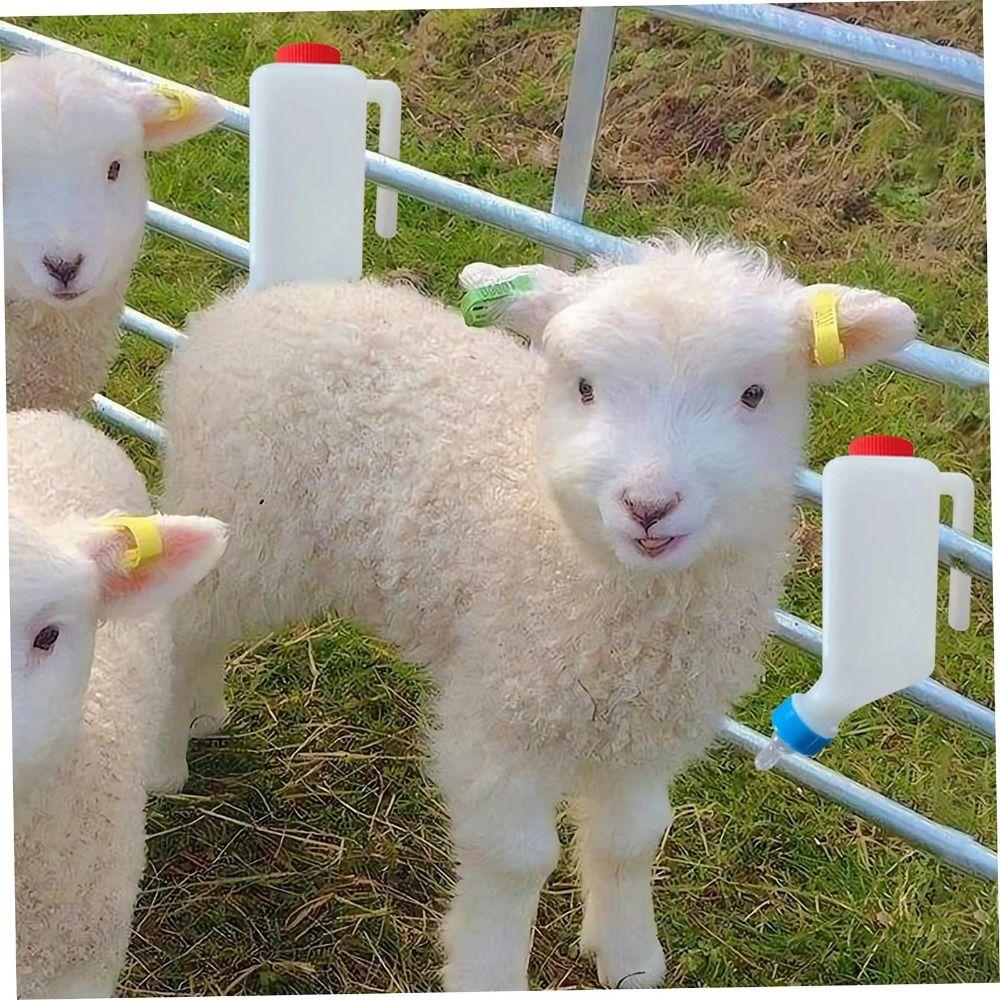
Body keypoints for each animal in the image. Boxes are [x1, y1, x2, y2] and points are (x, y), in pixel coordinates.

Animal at [159, 238, 918, 990]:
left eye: (753, 394)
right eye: (584, 388)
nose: (649, 506)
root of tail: (261, 303)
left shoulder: (649, 726)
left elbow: (632, 838)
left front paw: (630, 960)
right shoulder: (504, 709)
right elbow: (516, 856)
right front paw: (489, 971)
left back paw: (202, 714)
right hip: (238, 518)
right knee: (178, 630)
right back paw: (166, 759)